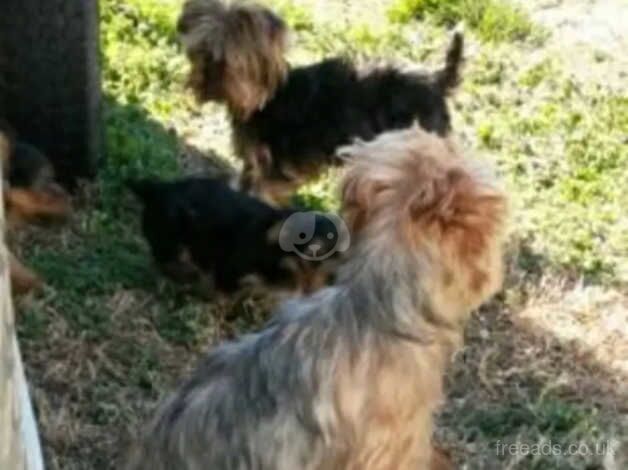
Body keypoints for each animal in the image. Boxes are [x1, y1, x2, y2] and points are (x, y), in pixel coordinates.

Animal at [130, 178, 350, 296]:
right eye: (310, 252)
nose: (311, 293)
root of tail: (158, 188)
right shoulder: (230, 272)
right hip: (171, 234)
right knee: (164, 258)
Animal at [175, 0, 462, 204]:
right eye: (199, 51)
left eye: (223, 60)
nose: (202, 77)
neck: (268, 99)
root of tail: (436, 80)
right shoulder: (255, 159)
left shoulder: (274, 170)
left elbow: (262, 192)